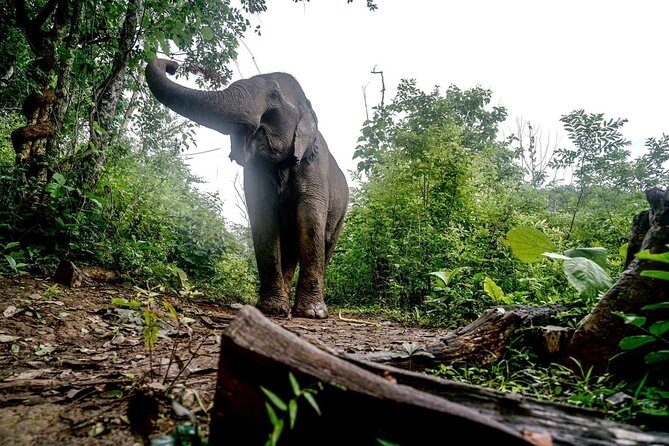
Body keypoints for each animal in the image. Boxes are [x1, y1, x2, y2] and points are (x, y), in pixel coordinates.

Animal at [145, 58, 348, 319]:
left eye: (274, 95)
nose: (173, 65)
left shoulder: (315, 168)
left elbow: (311, 222)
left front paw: (312, 313)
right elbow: (263, 222)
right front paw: (272, 309)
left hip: (342, 214)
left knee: (326, 242)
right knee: (290, 245)